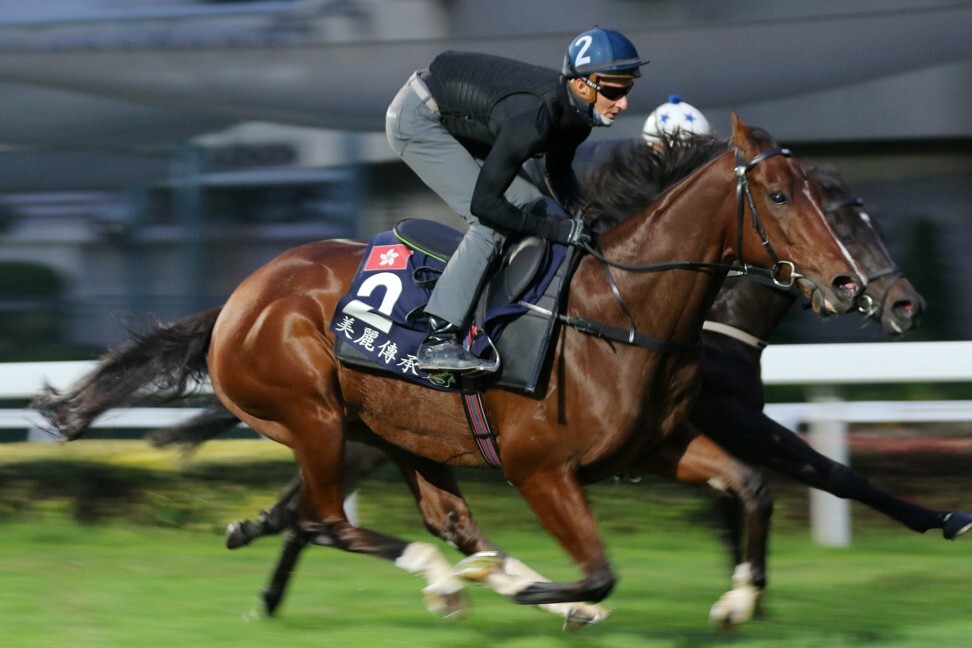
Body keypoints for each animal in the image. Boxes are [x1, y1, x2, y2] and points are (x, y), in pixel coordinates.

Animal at [34, 116, 860, 628]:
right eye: (780, 196)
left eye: (832, 199)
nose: (847, 285)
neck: (616, 311)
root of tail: (242, 296)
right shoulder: (540, 469)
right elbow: (599, 570)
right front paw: (556, 594)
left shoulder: (658, 445)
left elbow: (752, 486)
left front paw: (738, 603)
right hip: (313, 416)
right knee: (325, 520)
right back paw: (450, 581)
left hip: (398, 430)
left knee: (445, 520)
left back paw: (489, 576)